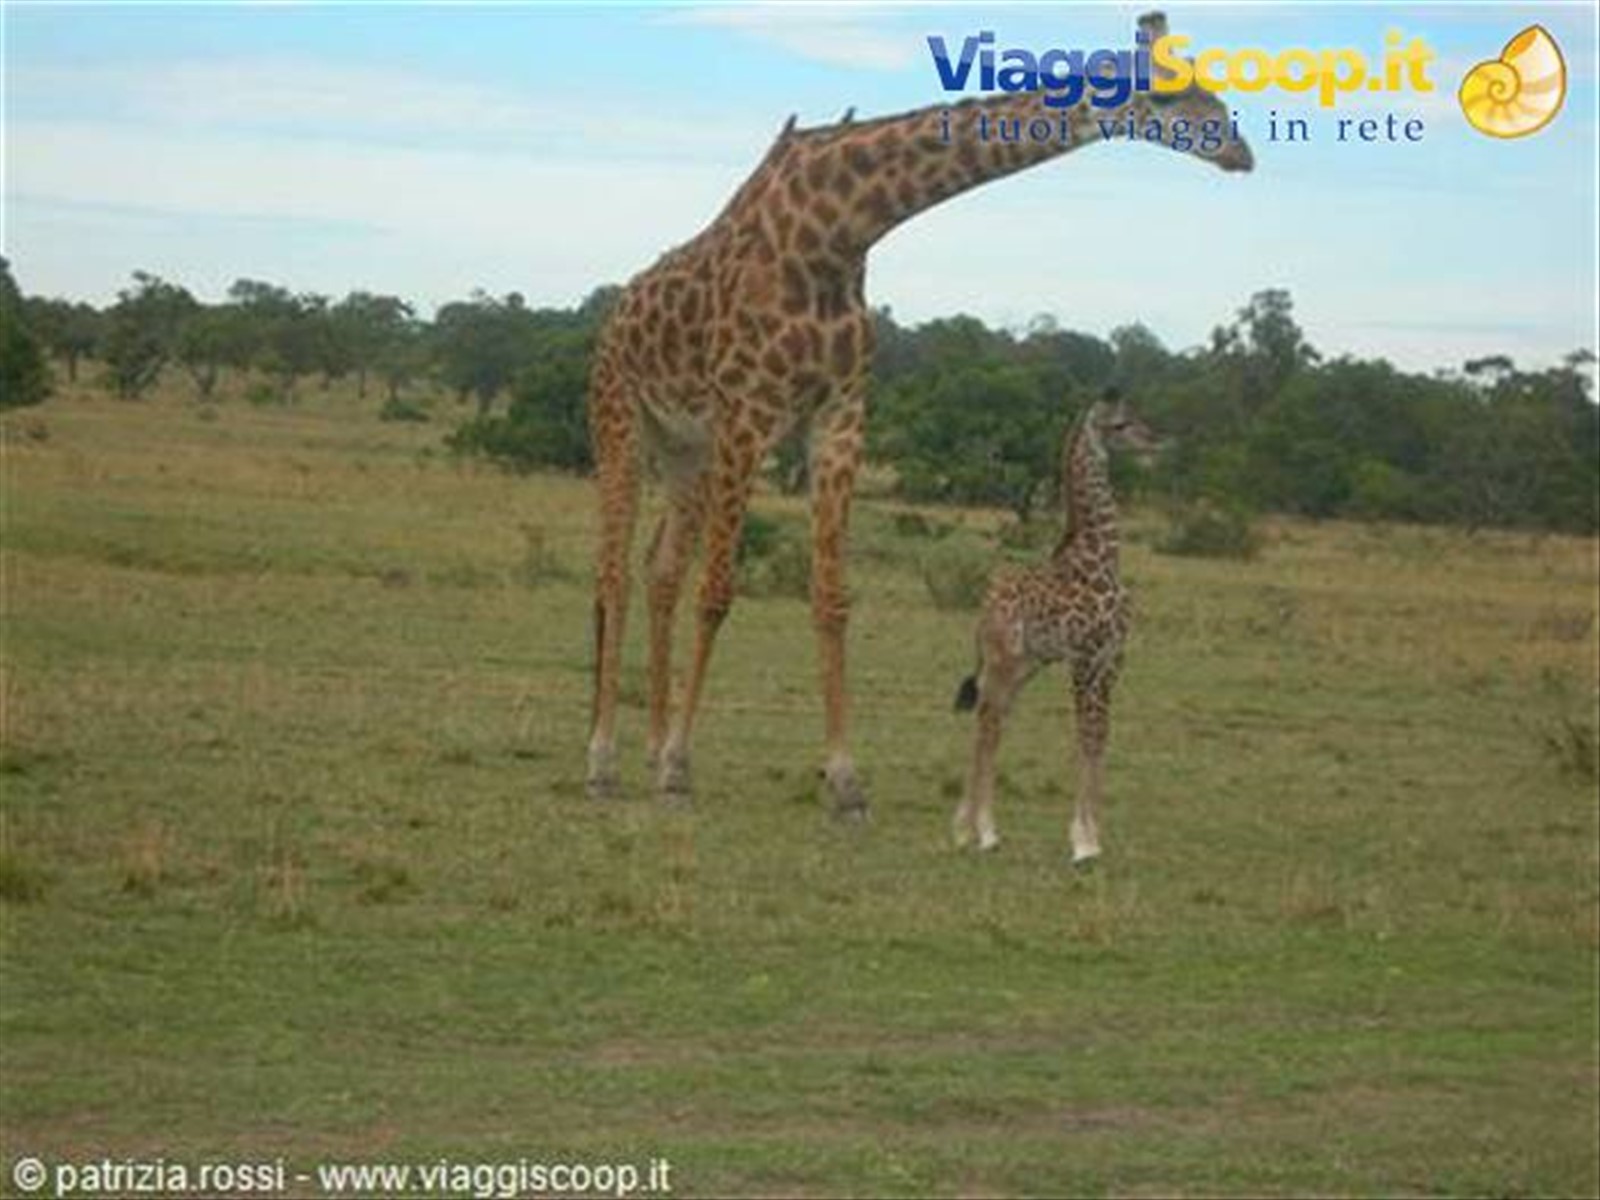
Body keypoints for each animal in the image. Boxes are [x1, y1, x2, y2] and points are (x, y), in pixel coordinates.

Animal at [585, 12, 1251, 814]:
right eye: (1173, 95)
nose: (1242, 151)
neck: (841, 230)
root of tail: (612, 320)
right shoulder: (750, 408)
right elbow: (718, 592)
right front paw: (681, 768)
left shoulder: (841, 414)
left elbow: (831, 598)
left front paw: (843, 780)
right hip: (622, 420)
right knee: (614, 571)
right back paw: (606, 757)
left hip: (687, 449)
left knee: (660, 570)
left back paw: (648, 745)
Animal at [952, 388, 1157, 863]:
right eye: (1119, 425)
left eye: (1138, 415)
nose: (1153, 444)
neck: (1102, 557)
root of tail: (983, 609)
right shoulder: (1083, 658)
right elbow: (1084, 734)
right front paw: (1081, 842)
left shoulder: (1113, 660)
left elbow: (1100, 735)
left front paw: (1094, 837)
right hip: (1004, 660)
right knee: (988, 722)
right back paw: (983, 832)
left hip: (1023, 667)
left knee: (992, 720)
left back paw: (968, 829)